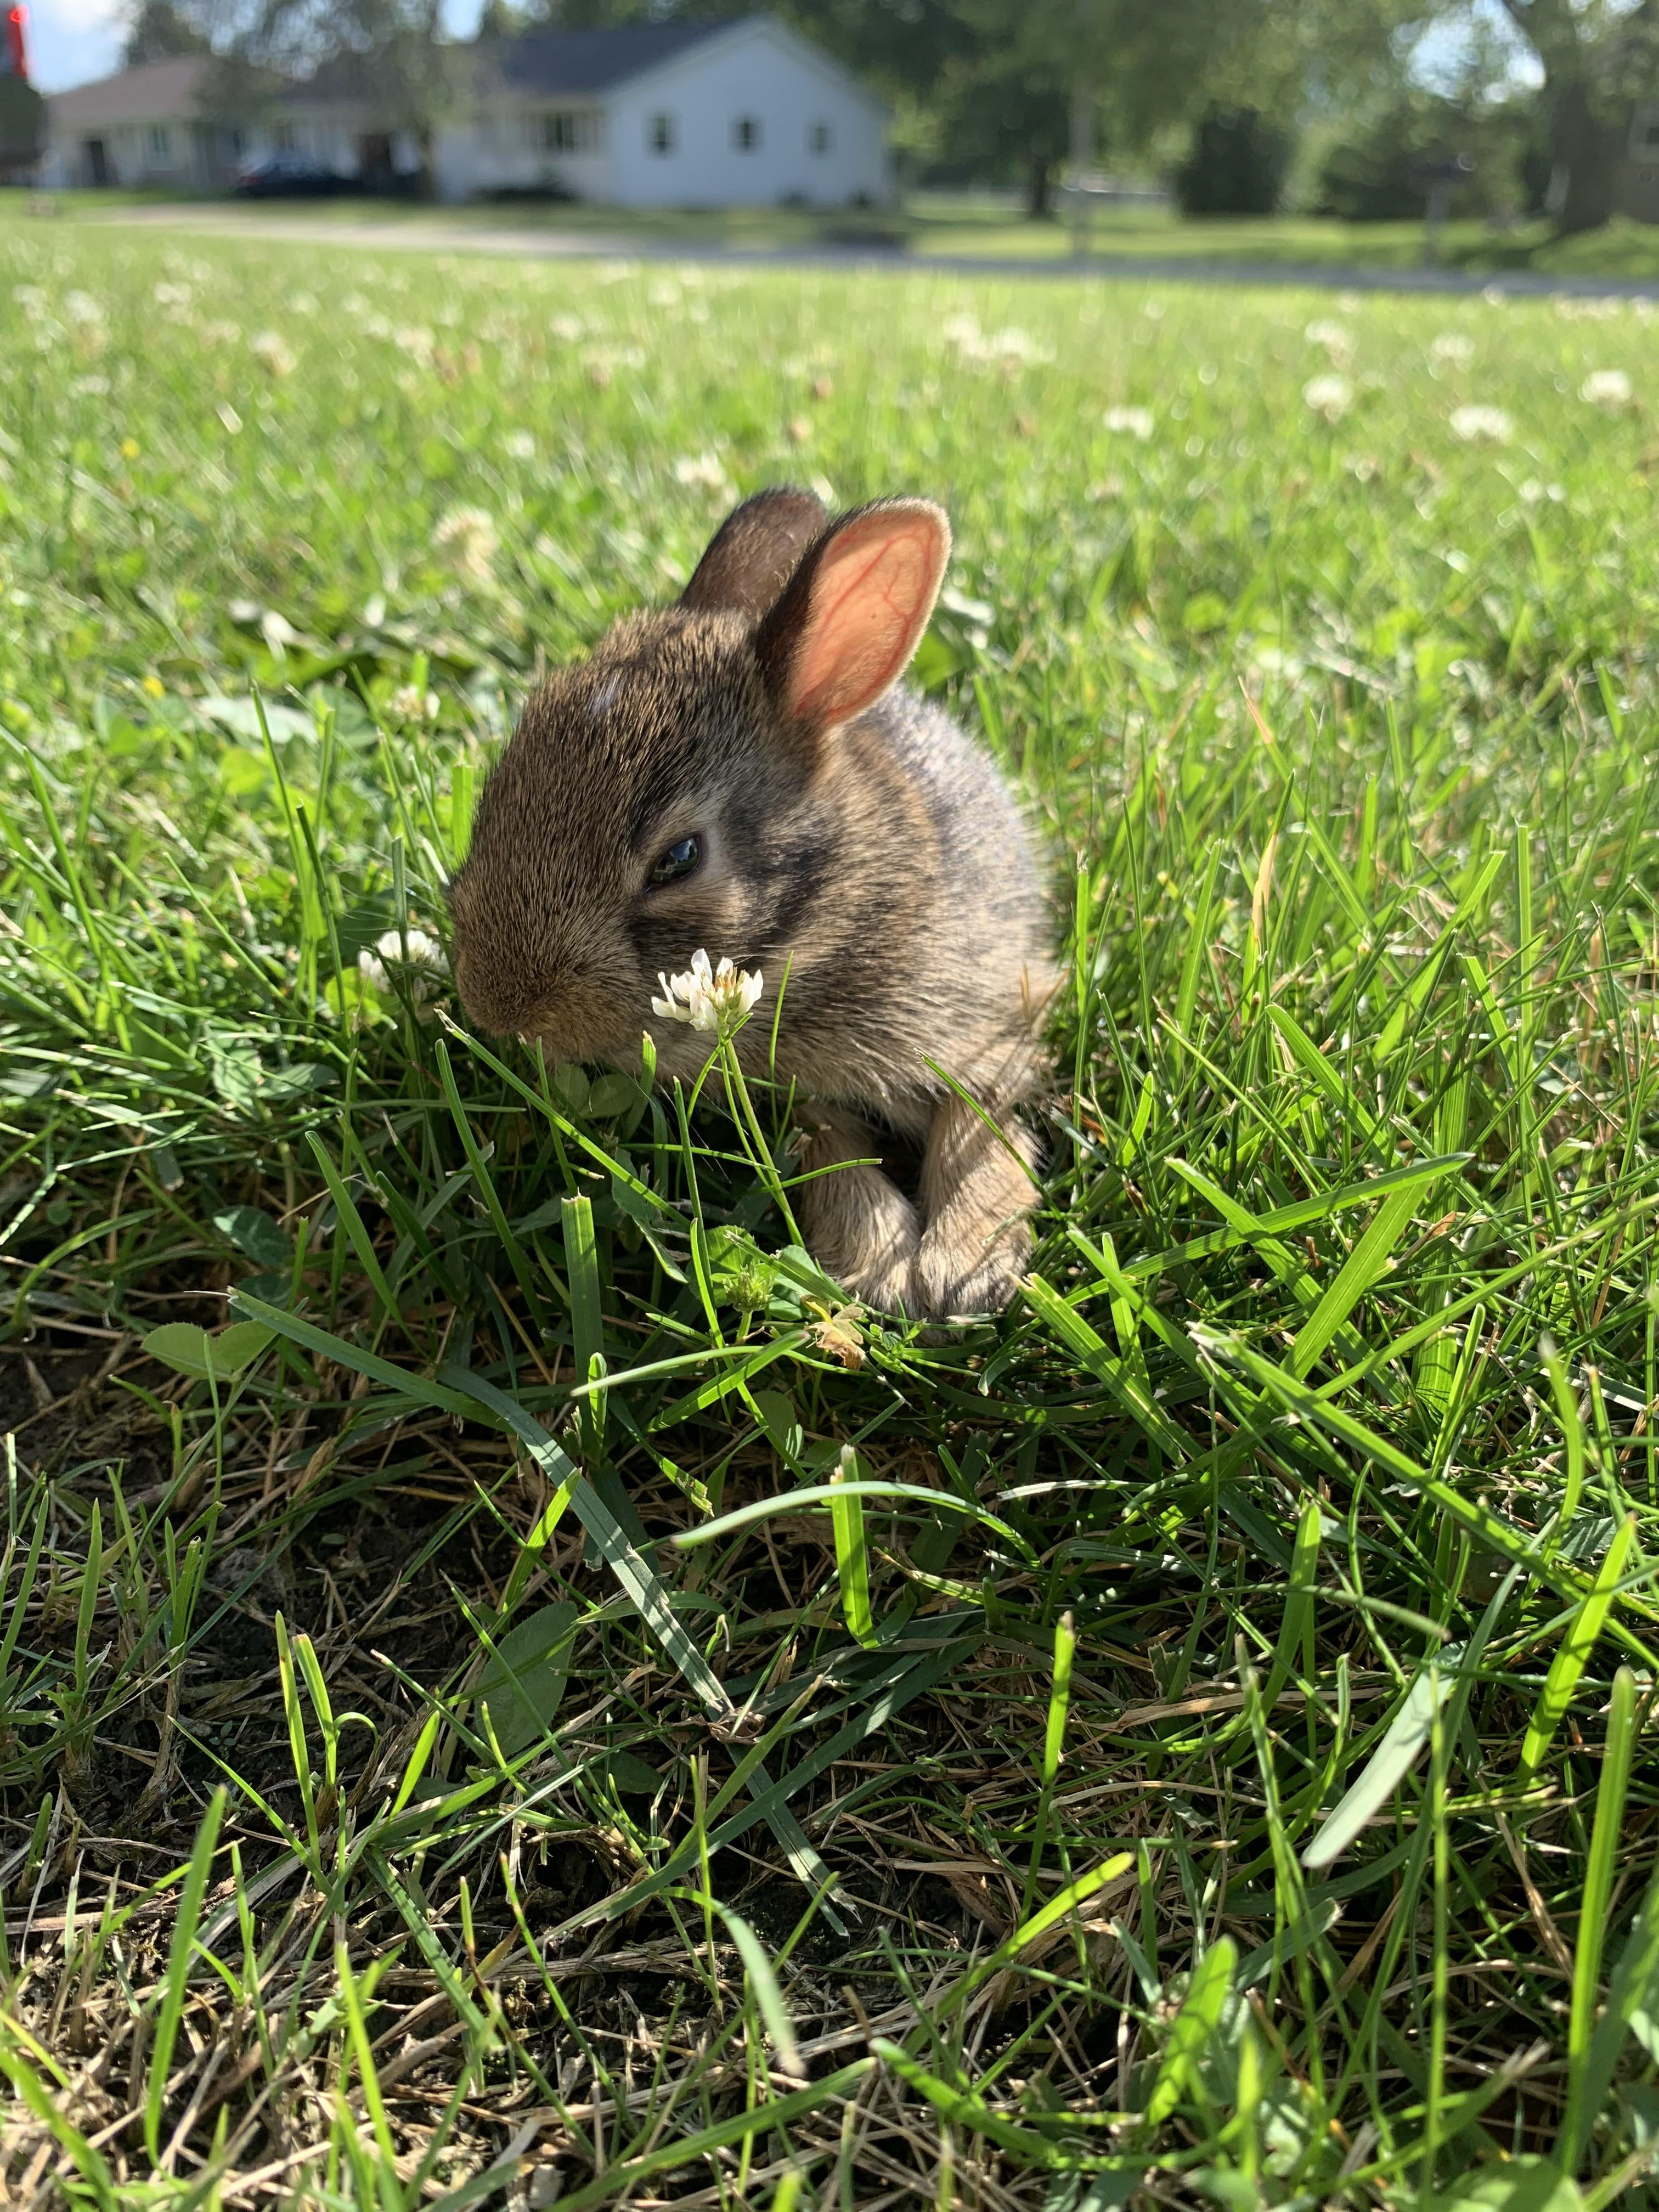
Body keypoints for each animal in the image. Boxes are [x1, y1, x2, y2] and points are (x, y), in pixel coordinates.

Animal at [448, 485, 1056, 1322]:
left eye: (678, 859)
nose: (497, 1006)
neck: (833, 918)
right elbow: (827, 1145)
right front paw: (878, 1263)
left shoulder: (993, 1019)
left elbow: (982, 1128)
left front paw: (961, 1270)